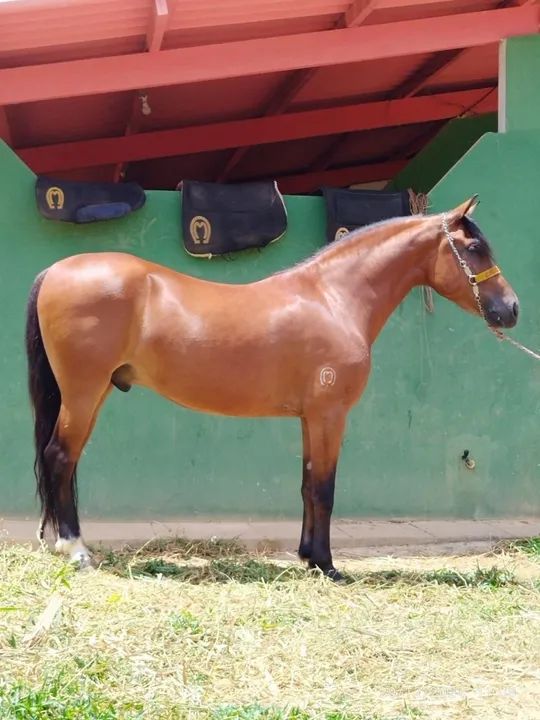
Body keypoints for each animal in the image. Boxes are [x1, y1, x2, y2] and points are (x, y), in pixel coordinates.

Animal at [25, 196, 519, 579]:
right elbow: (324, 488)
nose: (511, 309)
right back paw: (75, 551)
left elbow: (306, 484)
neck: (334, 299)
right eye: (474, 247)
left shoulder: (309, 418)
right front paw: (328, 566)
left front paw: (308, 557)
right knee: (60, 457)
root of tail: (55, 270)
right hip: (83, 393)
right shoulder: (330, 415)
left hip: (93, 394)